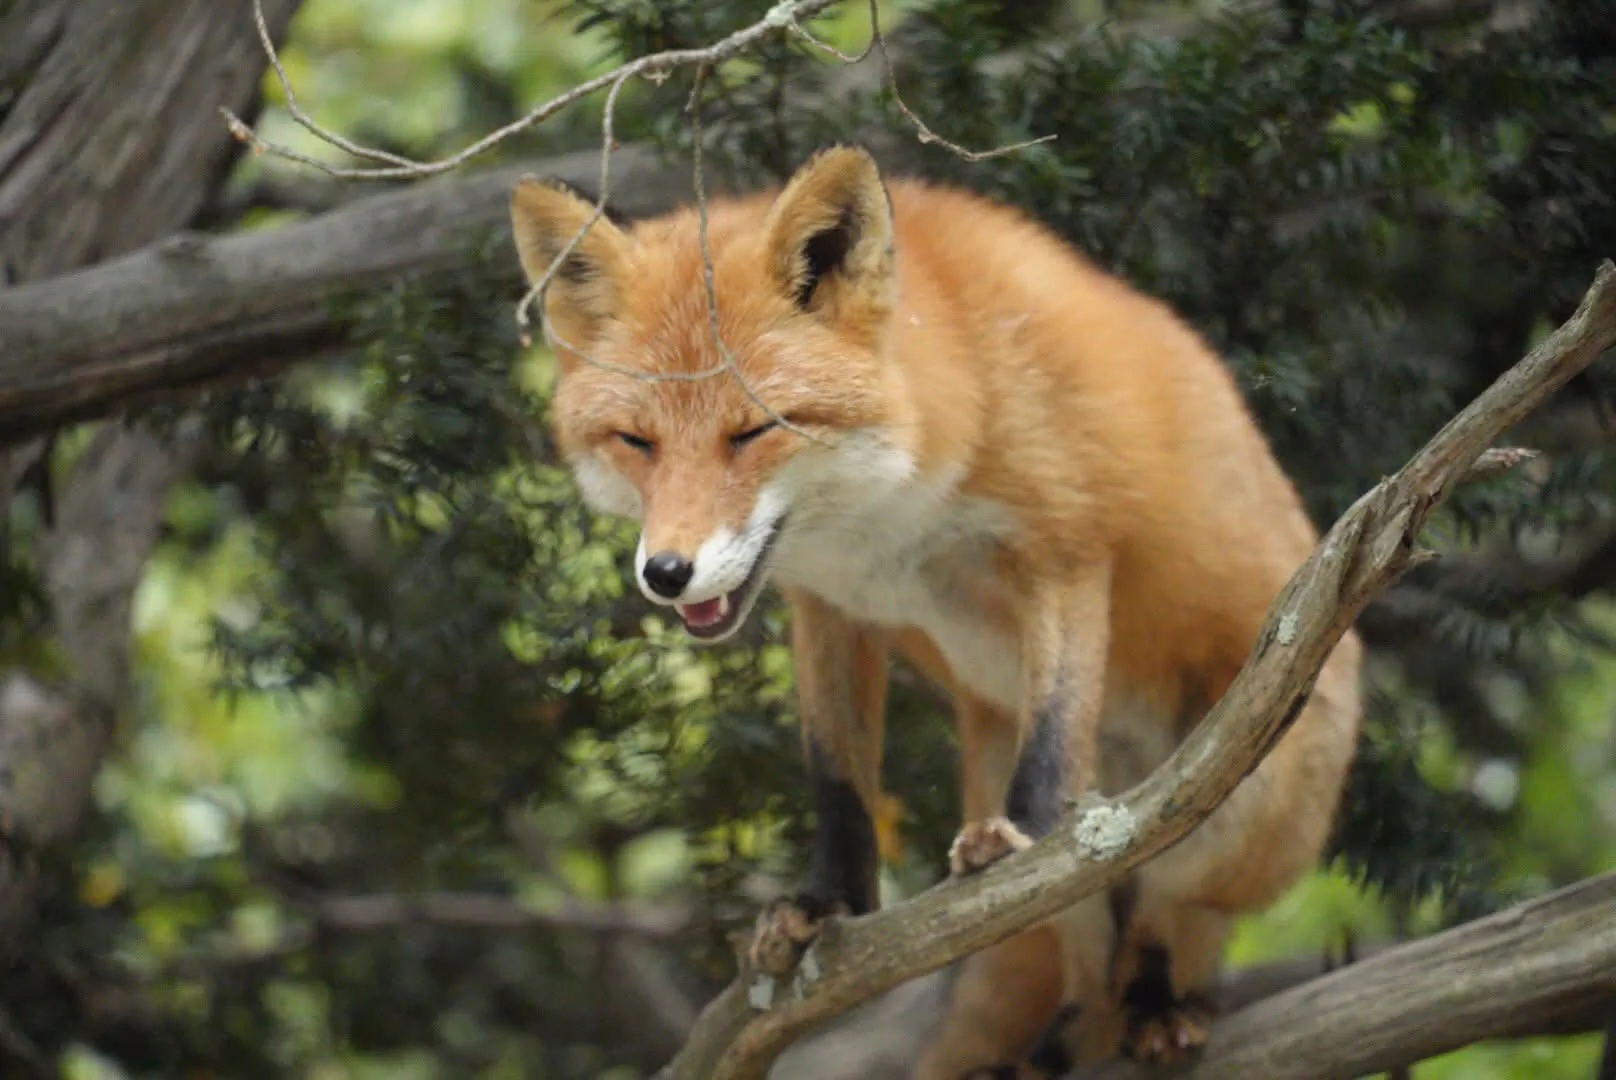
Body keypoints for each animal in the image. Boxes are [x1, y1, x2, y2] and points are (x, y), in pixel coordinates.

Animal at [507, 144, 1363, 1077]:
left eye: (751, 431)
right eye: (638, 441)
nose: (667, 572)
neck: (887, 522)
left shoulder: (1066, 551)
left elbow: (1055, 733)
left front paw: (1020, 841)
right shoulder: (828, 604)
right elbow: (837, 775)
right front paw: (827, 906)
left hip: (1242, 798)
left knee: (1174, 915)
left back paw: (1165, 1004)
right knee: (1083, 958)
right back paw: (1050, 1047)